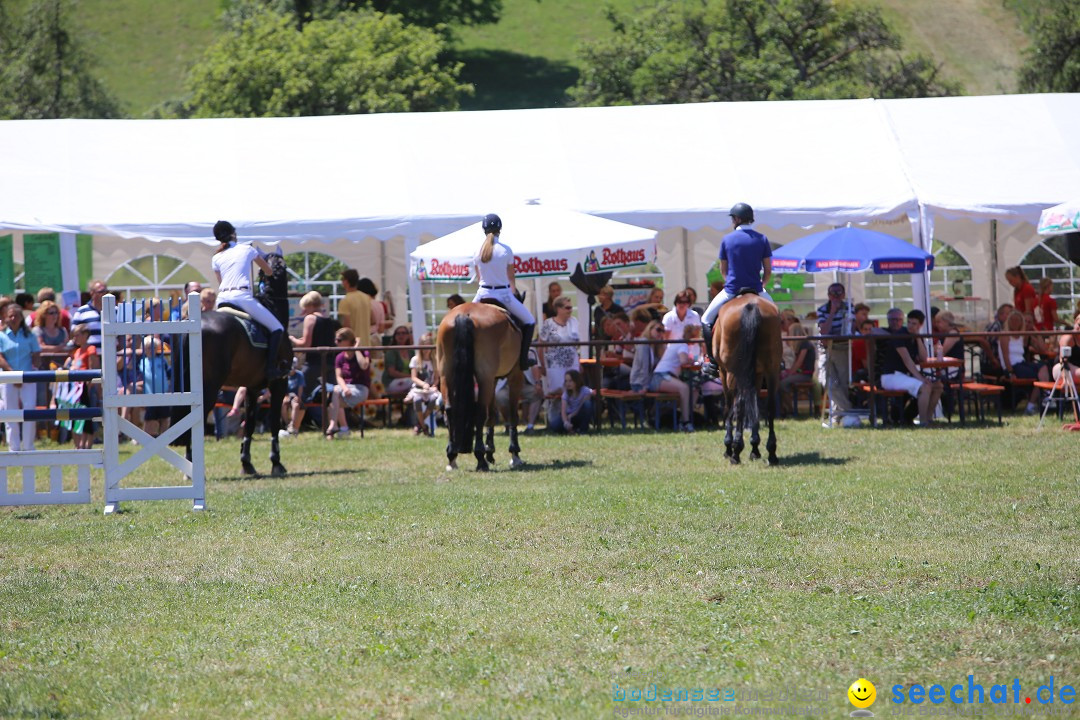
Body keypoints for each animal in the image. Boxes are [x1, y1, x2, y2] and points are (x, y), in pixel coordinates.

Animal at [172, 250, 291, 474]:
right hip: (210, 387)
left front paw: (247, 463)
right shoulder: (279, 382)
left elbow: (250, 424)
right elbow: (273, 422)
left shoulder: (252, 387)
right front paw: (277, 463)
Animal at [436, 302, 524, 472]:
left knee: (449, 409)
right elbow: (511, 414)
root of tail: (464, 314)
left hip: (446, 374)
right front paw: (514, 454)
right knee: (480, 412)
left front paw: (490, 451)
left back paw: (452, 457)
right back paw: (480, 459)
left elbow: (492, 414)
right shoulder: (514, 376)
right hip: (485, 378)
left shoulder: (493, 380)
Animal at [712, 293, 781, 468]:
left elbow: (729, 406)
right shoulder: (757, 373)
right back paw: (771, 453)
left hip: (732, 372)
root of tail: (751, 306)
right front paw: (754, 447)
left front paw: (729, 446)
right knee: (769, 406)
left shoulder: (723, 372)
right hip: (772, 370)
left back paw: (735, 452)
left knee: (738, 406)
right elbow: (754, 404)